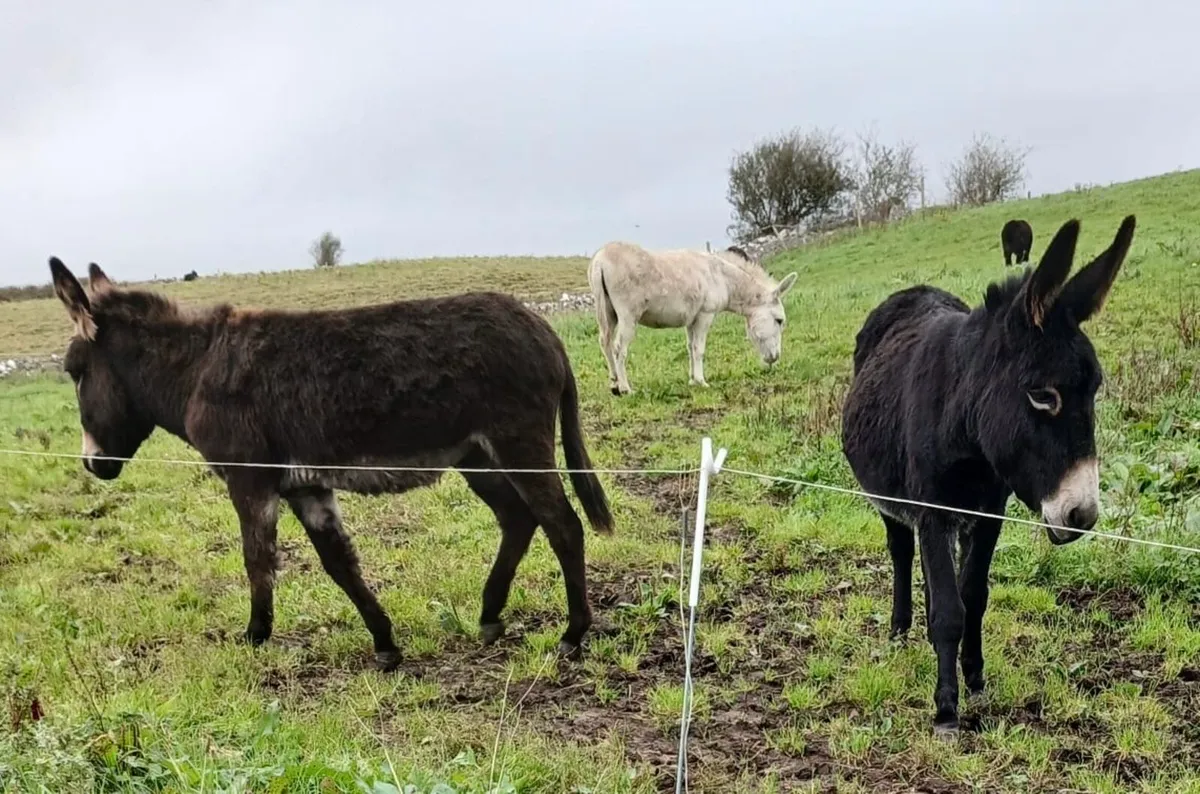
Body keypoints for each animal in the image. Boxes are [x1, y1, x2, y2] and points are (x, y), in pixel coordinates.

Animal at [48, 258, 613, 670]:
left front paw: (254, 637)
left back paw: (572, 635)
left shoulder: (250, 481)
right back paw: (490, 615)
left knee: (563, 525)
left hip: (517, 444)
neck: (196, 371)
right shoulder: (306, 487)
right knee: (518, 519)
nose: (93, 466)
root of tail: (542, 328)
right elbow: (339, 563)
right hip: (477, 457)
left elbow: (257, 560)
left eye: (75, 372)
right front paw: (385, 644)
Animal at [587, 242, 797, 394]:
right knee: (619, 348)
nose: (774, 359)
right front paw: (701, 381)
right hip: (628, 316)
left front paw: (691, 380)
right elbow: (699, 349)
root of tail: (600, 260)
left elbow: (689, 347)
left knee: (605, 343)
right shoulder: (705, 315)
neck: (721, 278)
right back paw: (625, 389)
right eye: (779, 321)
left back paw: (614, 384)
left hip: (607, 312)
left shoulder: (691, 319)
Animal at [841, 215, 1136, 735]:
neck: (967, 430)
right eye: (1042, 396)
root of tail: (912, 291)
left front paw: (974, 678)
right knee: (900, 551)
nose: (1081, 516)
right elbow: (948, 611)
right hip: (893, 501)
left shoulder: (990, 511)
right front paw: (945, 709)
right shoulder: (932, 511)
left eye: (1095, 390)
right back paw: (899, 630)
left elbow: (973, 594)